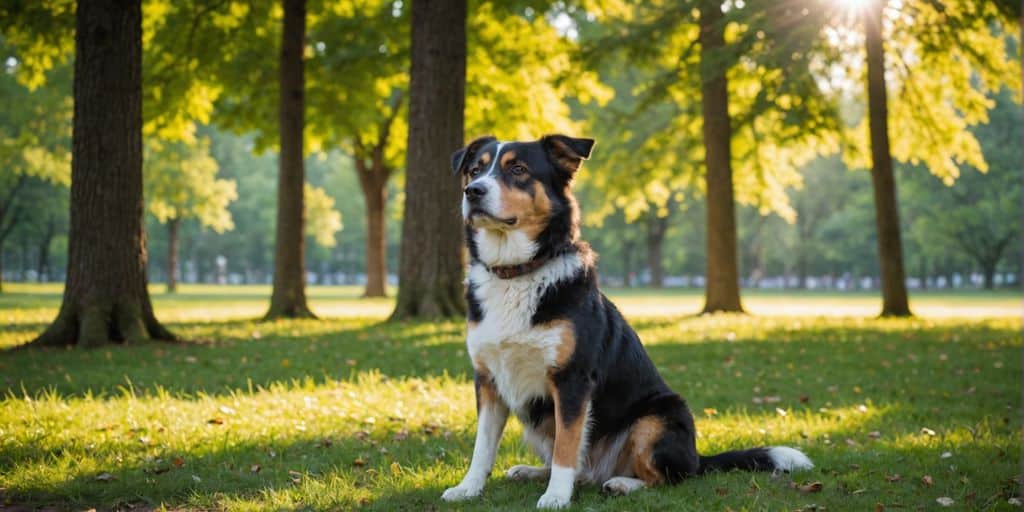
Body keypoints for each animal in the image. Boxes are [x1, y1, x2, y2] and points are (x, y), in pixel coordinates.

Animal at [444, 135, 811, 507]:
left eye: (518, 169)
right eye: (474, 170)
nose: (473, 191)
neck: (517, 274)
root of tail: (697, 457)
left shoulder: (573, 380)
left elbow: (567, 446)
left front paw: (557, 497)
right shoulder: (487, 379)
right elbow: (483, 447)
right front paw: (468, 488)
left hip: (659, 416)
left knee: (668, 477)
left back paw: (621, 483)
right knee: (583, 467)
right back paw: (532, 472)